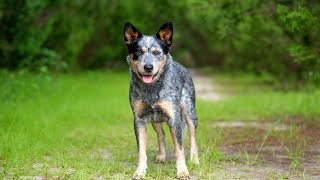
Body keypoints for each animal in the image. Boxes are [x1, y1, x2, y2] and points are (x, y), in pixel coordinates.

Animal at [124, 22, 199, 179]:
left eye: (156, 52)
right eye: (138, 52)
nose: (148, 67)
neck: (151, 89)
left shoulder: (174, 119)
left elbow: (179, 149)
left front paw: (182, 171)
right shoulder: (139, 120)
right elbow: (141, 151)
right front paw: (140, 171)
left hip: (190, 113)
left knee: (193, 136)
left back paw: (194, 160)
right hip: (155, 119)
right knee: (161, 134)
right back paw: (161, 156)